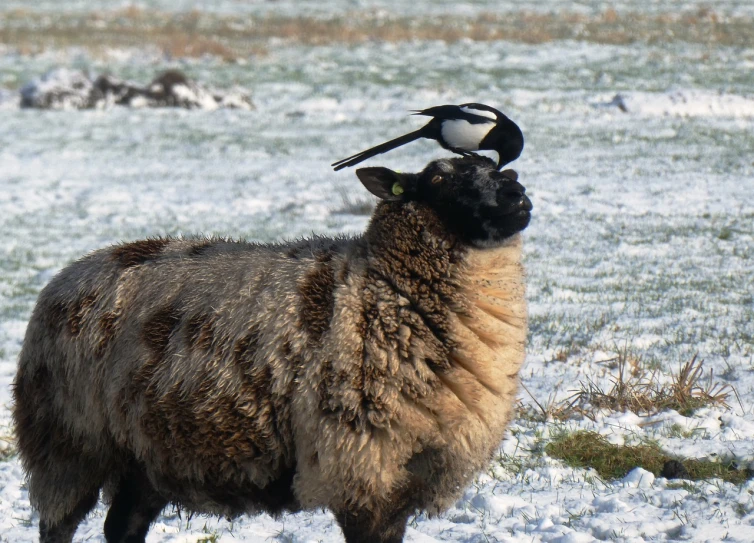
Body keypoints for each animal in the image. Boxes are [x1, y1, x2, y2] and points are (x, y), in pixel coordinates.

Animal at [11, 154, 528, 543]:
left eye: (495, 166)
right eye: (438, 178)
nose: (516, 194)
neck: (384, 287)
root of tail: (68, 275)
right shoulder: (362, 470)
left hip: (145, 452)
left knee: (122, 527)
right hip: (68, 442)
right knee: (58, 526)